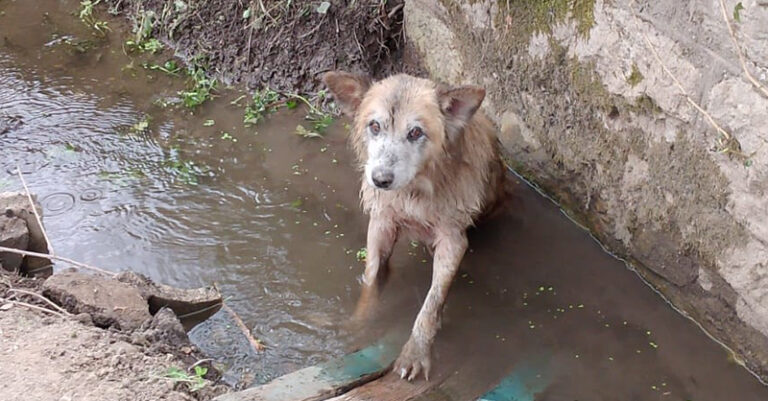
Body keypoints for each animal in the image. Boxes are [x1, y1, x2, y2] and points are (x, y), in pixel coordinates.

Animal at [322, 71, 508, 382]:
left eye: (415, 133)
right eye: (375, 126)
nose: (380, 179)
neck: (414, 194)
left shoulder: (453, 241)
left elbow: (431, 303)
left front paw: (415, 352)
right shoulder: (381, 224)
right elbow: (371, 282)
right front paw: (358, 326)